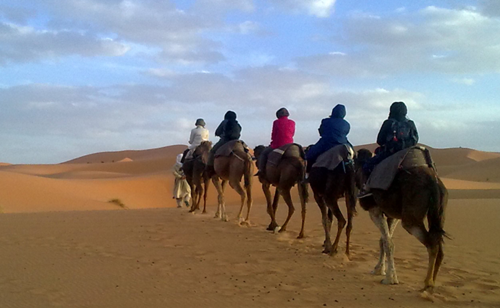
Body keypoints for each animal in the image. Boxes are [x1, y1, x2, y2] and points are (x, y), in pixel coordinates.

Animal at [356, 148, 450, 292]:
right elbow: (383, 240)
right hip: (439, 212)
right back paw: (433, 282)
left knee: (431, 244)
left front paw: (390, 278)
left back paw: (428, 282)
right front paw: (379, 270)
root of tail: (434, 181)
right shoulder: (393, 215)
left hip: (411, 218)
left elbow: (388, 242)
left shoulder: (374, 210)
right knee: (438, 242)